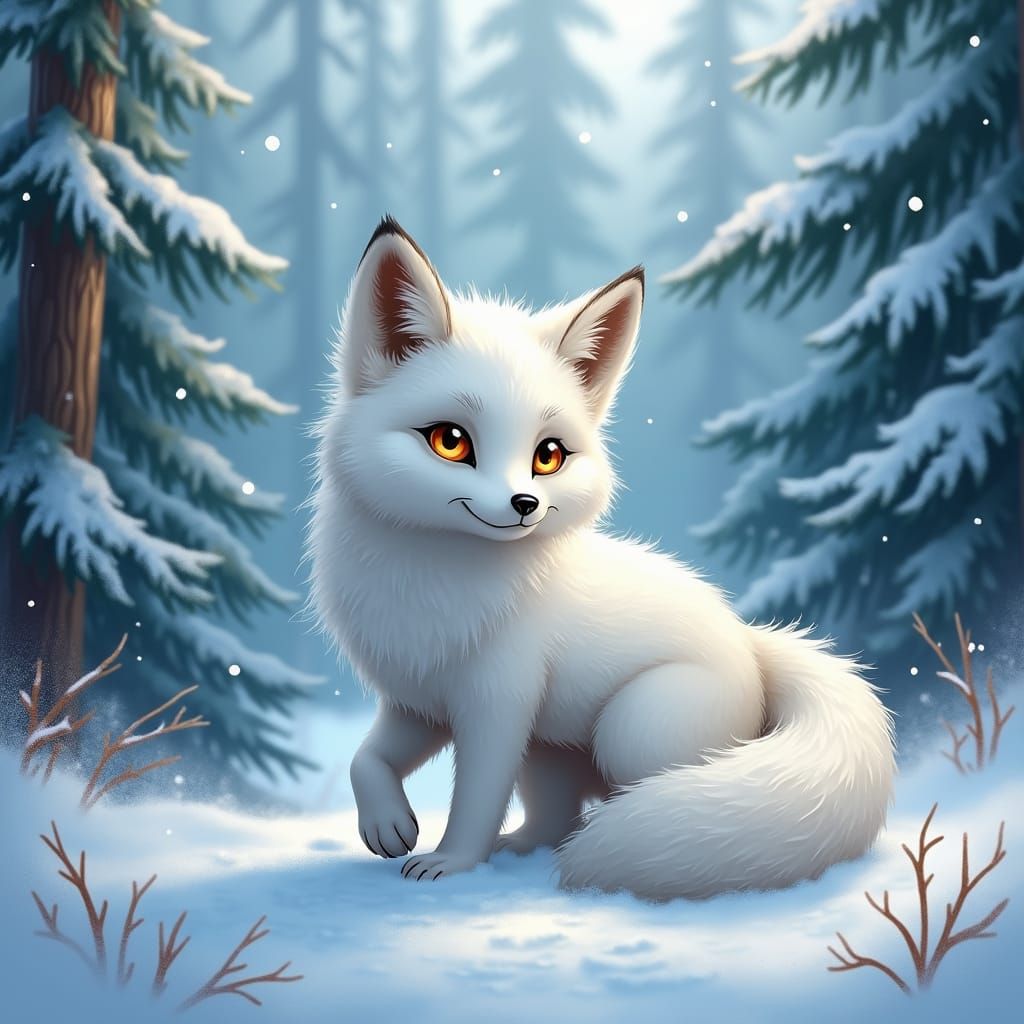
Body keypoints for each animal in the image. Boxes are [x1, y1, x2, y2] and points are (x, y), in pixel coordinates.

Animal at [307, 215, 895, 901]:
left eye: (548, 455)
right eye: (450, 442)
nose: (525, 504)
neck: (428, 586)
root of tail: (751, 645)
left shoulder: (497, 700)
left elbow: (476, 798)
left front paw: (451, 864)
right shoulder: (418, 698)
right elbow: (365, 759)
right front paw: (388, 827)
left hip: (630, 728)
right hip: (548, 749)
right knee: (554, 817)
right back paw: (525, 849)